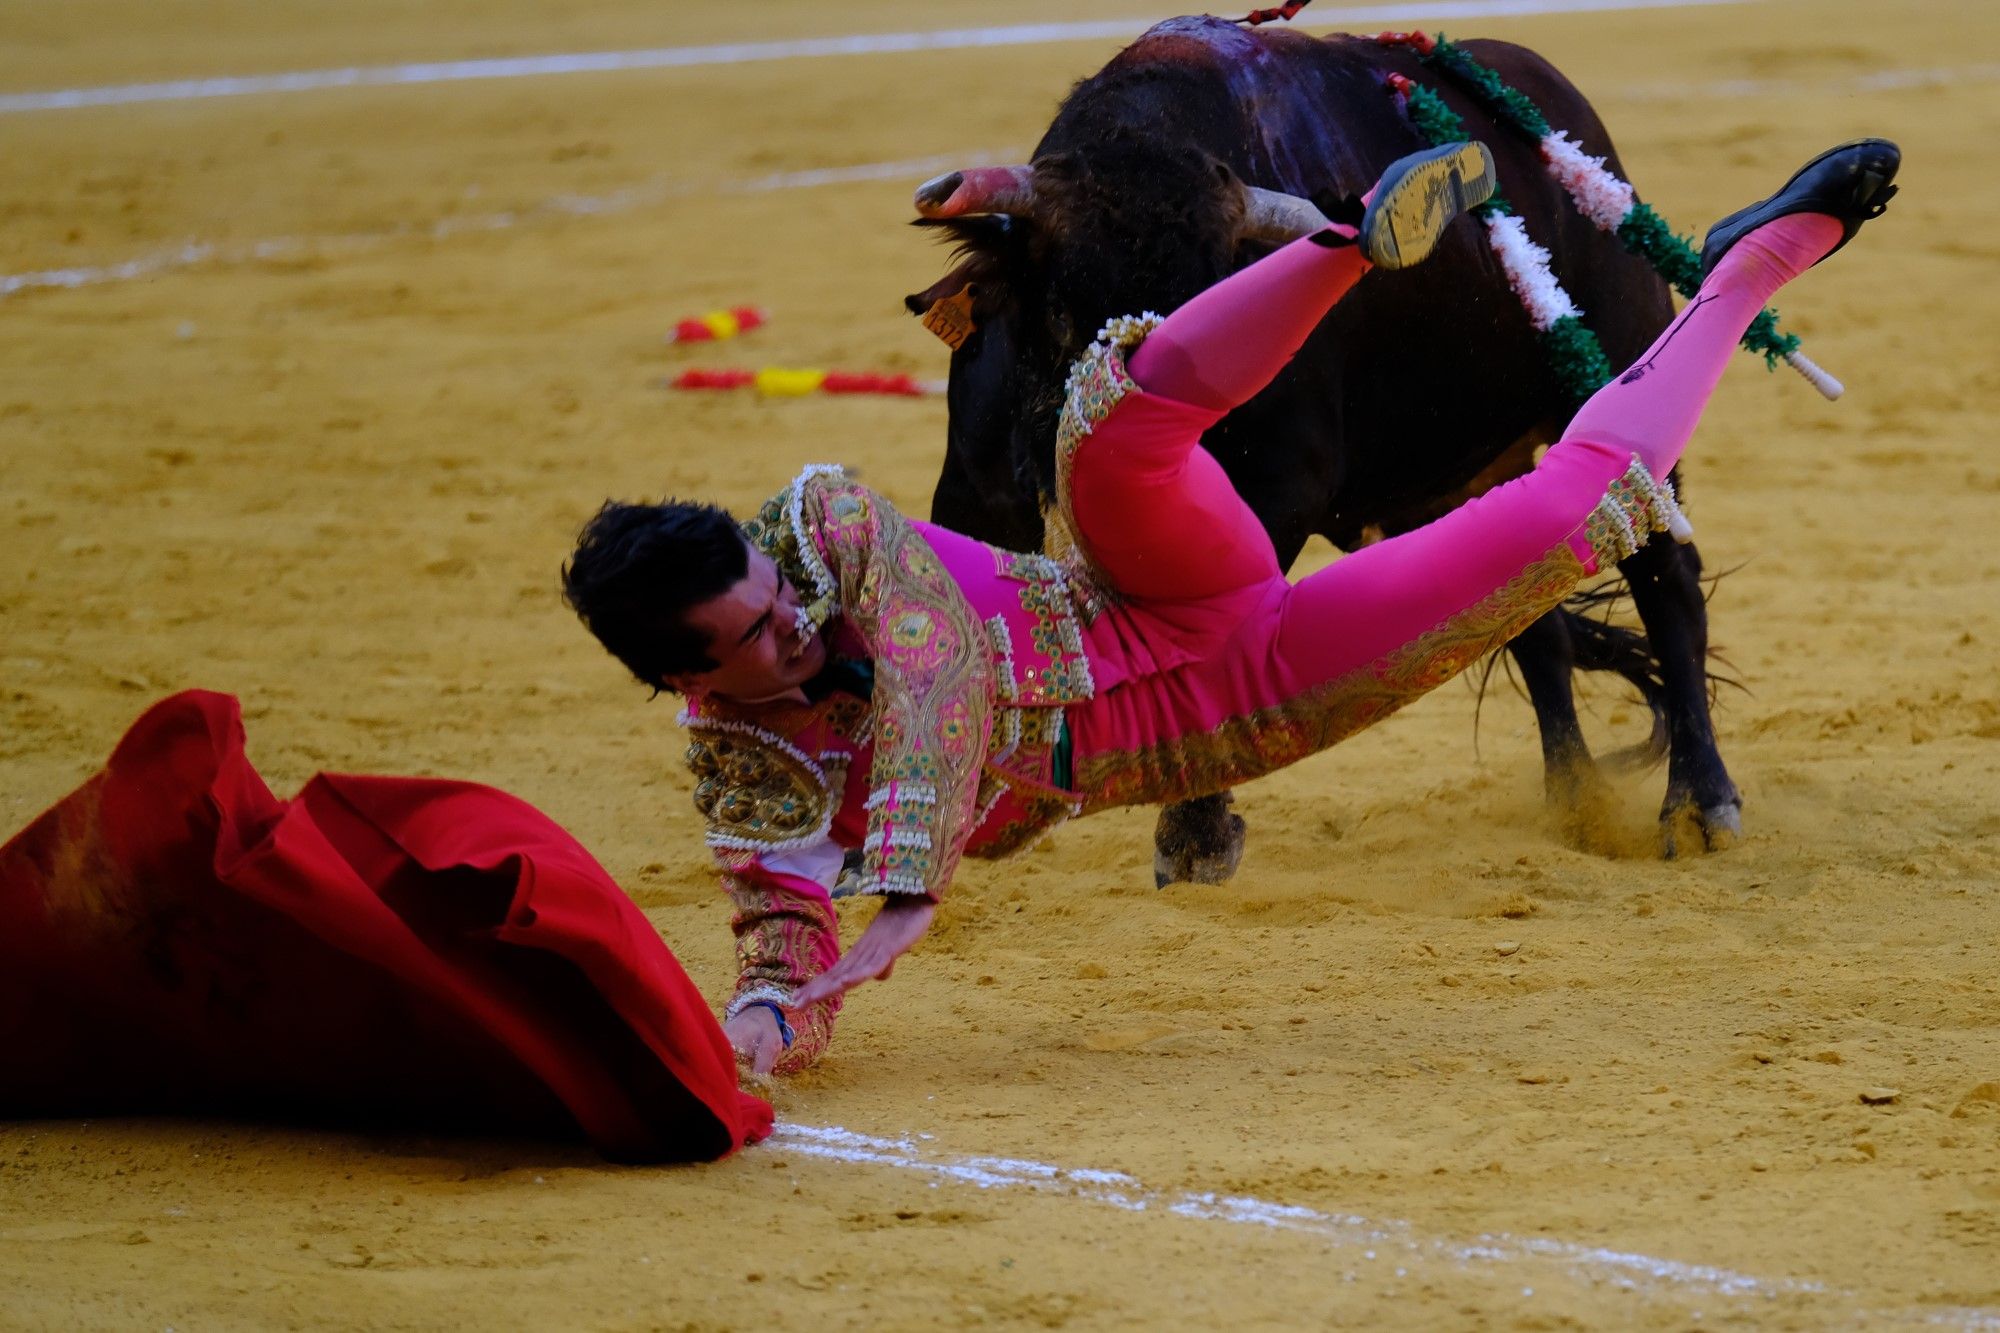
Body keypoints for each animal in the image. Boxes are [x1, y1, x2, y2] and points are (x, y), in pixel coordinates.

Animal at [900, 18, 1744, 880]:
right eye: (1069, 303)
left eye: (1219, 311)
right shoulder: (976, 491)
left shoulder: (1272, 500)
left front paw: (1195, 842)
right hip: (1456, 480)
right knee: (1527, 613)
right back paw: (1575, 802)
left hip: (1616, 376)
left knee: (1666, 580)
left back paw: (1700, 803)